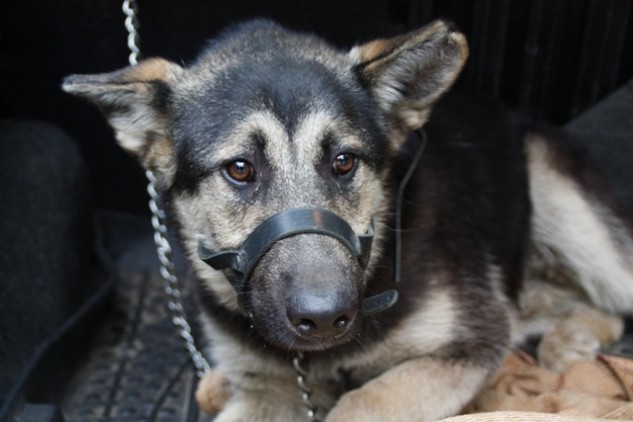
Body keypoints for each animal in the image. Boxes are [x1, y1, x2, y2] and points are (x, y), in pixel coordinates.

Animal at [63, 19, 633, 421]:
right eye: (240, 169)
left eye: (343, 162)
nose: (324, 317)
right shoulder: (262, 388)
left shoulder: (472, 342)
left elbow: (361, 403)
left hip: (567, 207)